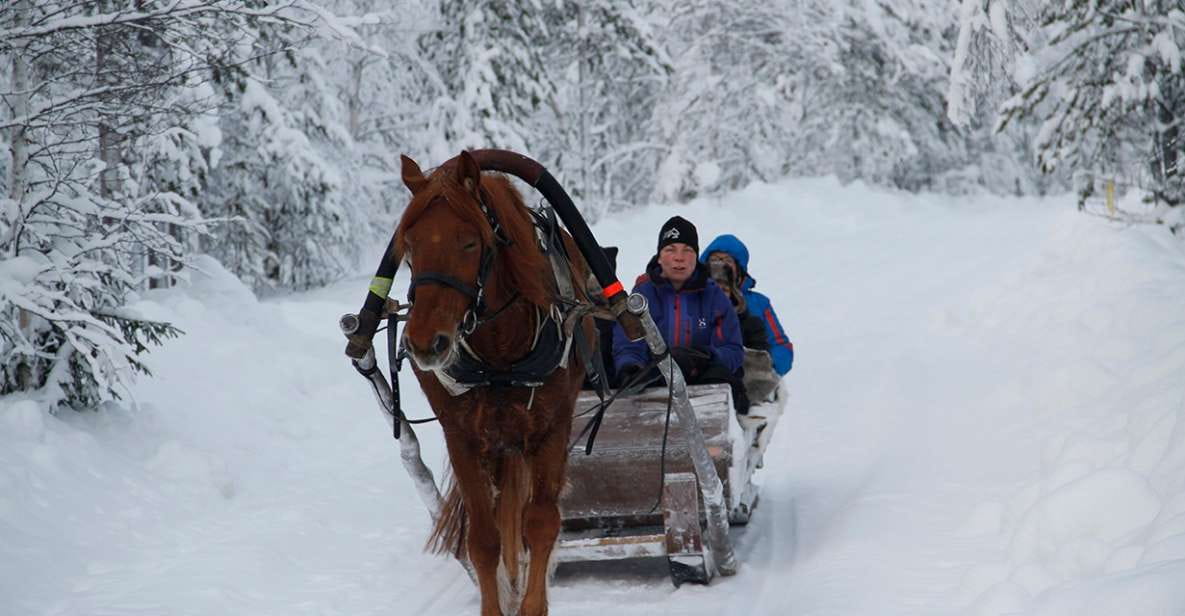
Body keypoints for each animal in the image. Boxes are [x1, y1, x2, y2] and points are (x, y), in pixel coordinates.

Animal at [393, 150, 594, 616]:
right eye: (410, 246)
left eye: (469, 242)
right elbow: (484, 540)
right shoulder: (463, 437)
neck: (500, 354)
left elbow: (540, 523)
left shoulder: (551, 429)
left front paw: (532, 604)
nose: (425, 342)